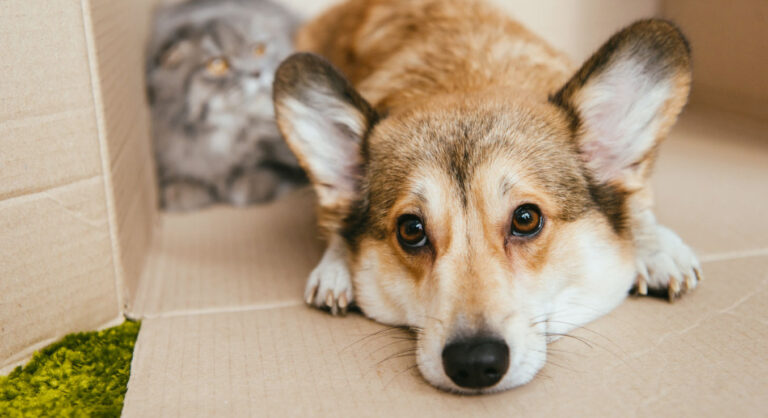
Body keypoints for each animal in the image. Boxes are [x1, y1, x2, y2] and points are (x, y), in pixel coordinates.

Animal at [147, 0, 306, 209]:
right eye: (217, 64)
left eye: (259, 49)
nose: (257, 72)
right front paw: (181, 191)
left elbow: (271, 171)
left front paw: (246, 186)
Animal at [272, 0, 700, 394]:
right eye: (411, 230)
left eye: (526, 219)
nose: (475, 364)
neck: (467, 80)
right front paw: (337, 265)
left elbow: (638, 204)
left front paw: (657, 249)